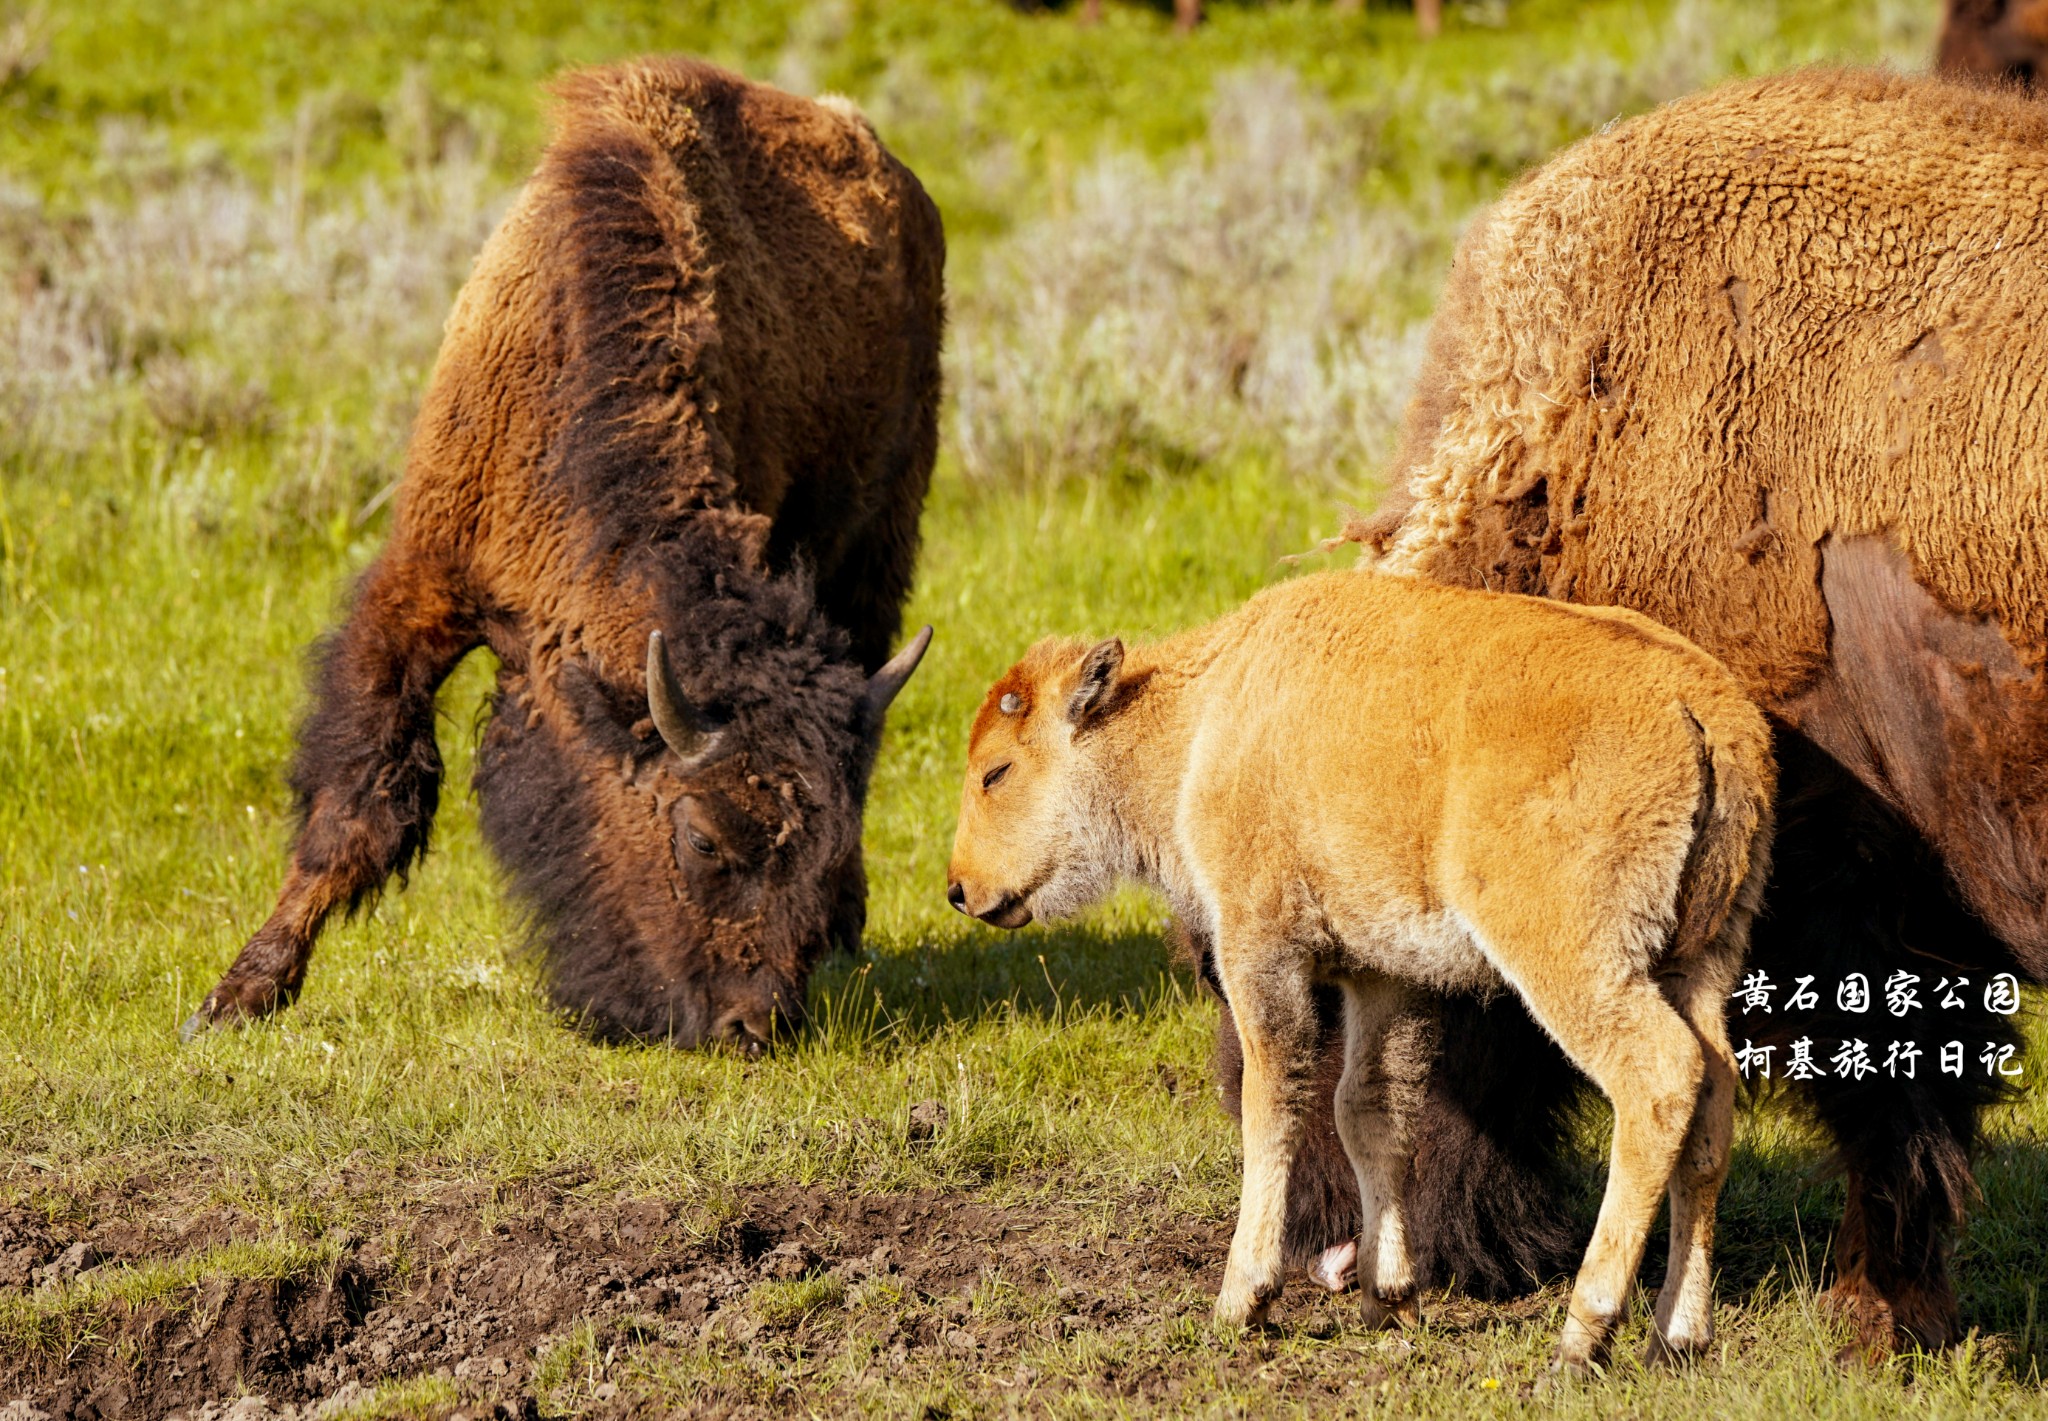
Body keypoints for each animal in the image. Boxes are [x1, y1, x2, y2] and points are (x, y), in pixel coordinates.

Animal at [184, 55, 942, 1056]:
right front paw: (234, 998)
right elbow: (358, 807)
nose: (755, 1025)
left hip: (878, 542)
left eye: (821, 846)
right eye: (701, 838)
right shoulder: (423, 587)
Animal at [950, 573, 1769, 1375]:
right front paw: (1390, 1298)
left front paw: (1241, 1300)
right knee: (1712, 1096)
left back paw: (1581, 1336)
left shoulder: (1261, 948)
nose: (959, 888)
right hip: (1701, 958)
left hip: (1572, 956)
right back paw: (1678, 1336)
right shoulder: (1384, 977)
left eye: (998, 771)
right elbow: (1369, 1110)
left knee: (1656, 1077)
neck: (1203, 718)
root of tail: (1702, 708)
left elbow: (1273, 1101)